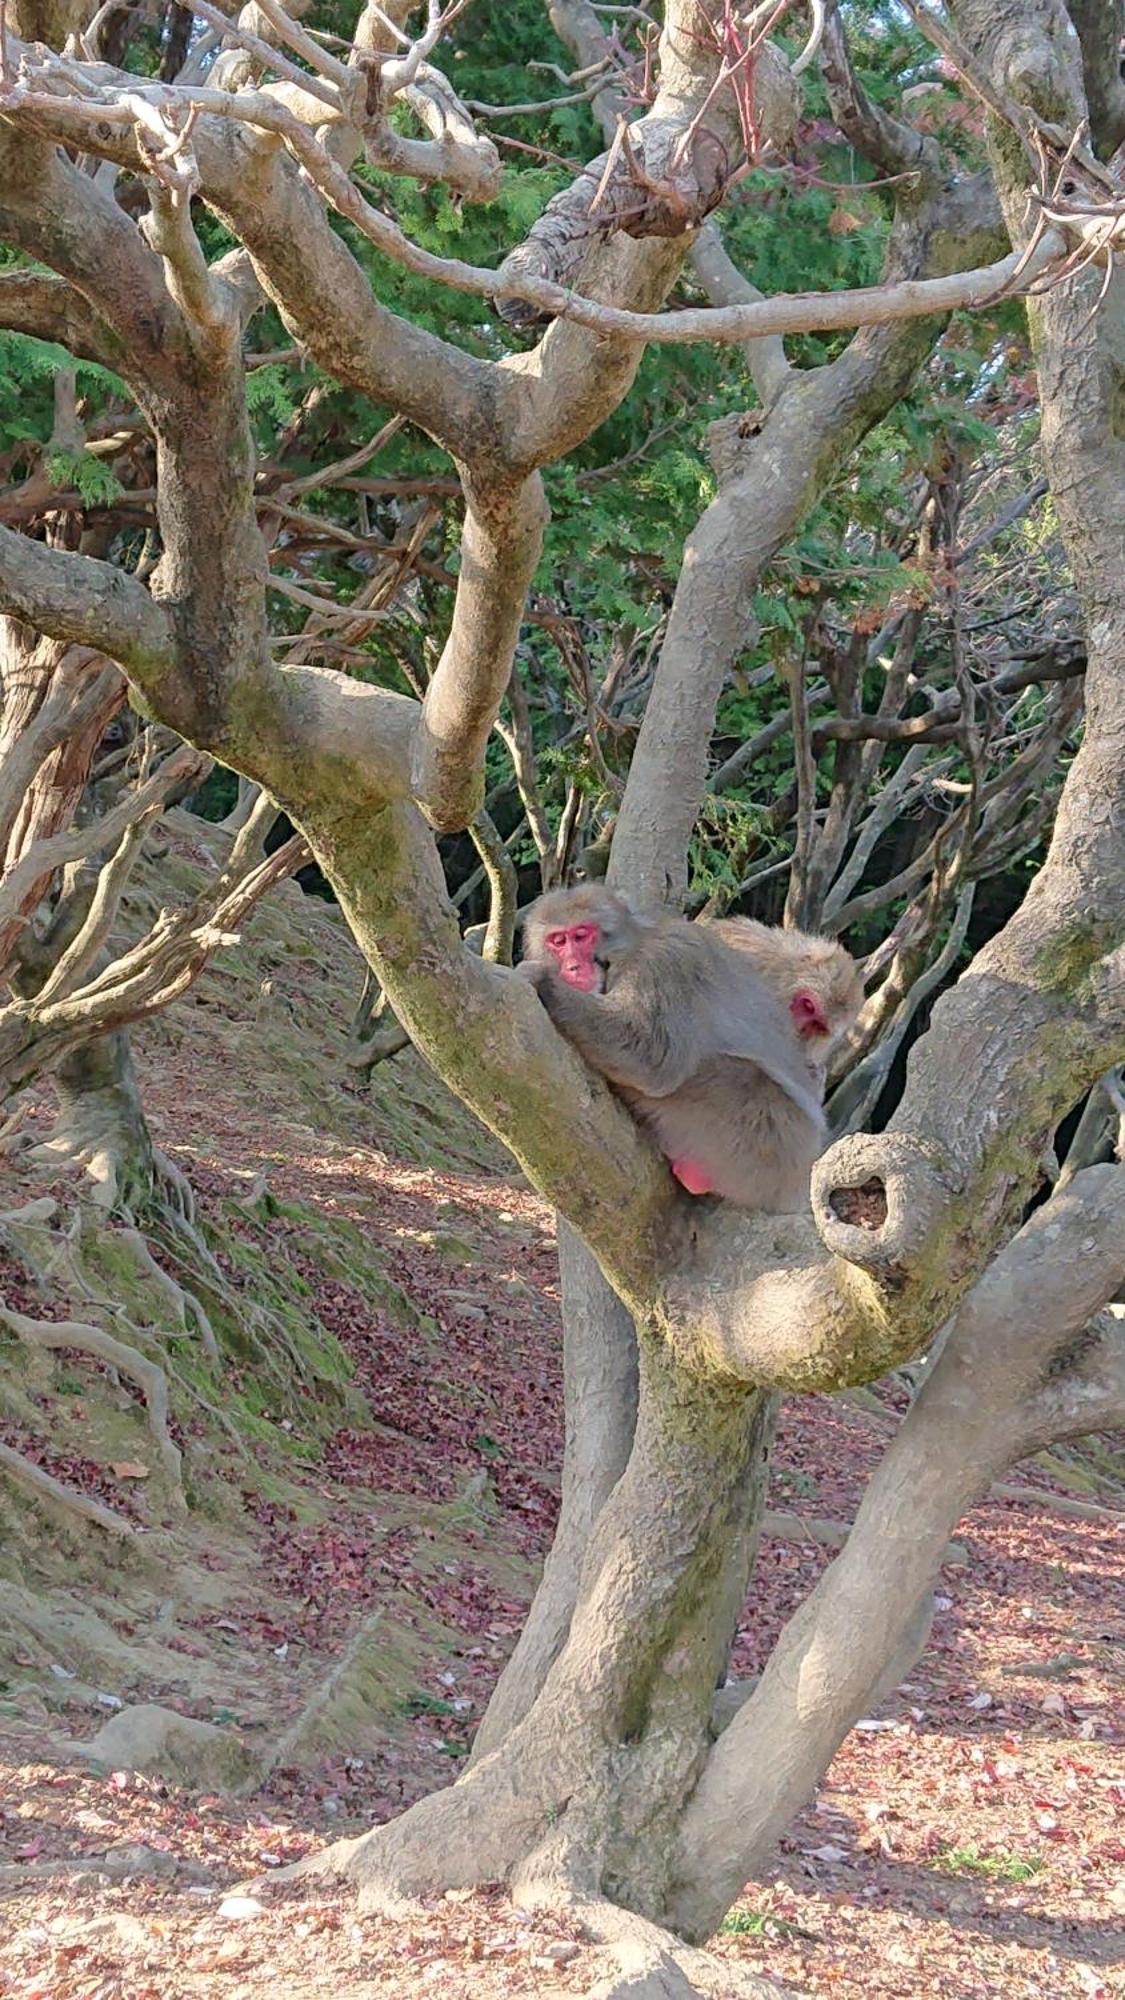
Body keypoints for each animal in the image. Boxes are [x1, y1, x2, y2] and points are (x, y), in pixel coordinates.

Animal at [512, 888, 852, 1200]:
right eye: (558, 941)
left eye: (581, 936)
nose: (572, 967)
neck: (630, 947)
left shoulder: (662, 963)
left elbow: (652, 1058)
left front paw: (544, 981)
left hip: (762, 1144)